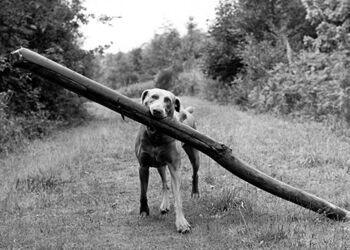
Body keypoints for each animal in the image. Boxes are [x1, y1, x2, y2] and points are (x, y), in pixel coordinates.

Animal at [135, 88, 200, 232]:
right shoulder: (143, 166)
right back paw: (165, 205)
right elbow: (143, 193)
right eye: (153, 97)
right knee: (165, 183)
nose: (157, 111)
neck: (155, 135)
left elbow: (178, 198)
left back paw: (195, 192)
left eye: (168, 101)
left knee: (195, 173)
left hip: (194, 154)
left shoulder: (175, 167)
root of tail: (187, 111)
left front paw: (181, 222)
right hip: (160, 164)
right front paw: (144, 211)